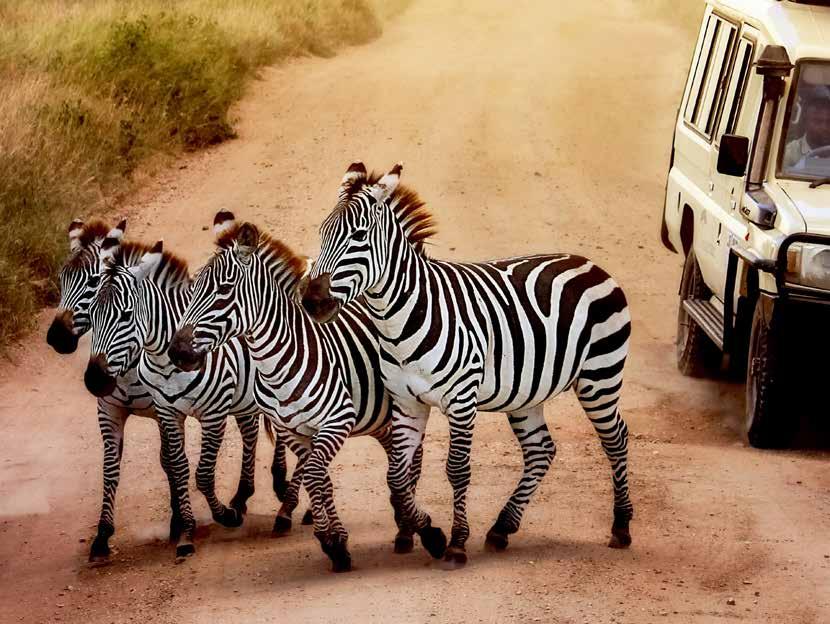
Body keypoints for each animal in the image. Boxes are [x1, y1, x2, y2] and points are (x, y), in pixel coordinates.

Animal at [78, 232, 298, 560]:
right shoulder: (160, 412)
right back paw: (245, 496)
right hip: (246, 401)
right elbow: (172, 467)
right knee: (252, 433)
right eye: (91, 316)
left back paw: (285, 501)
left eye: (126, 316)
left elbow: (203, 474)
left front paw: (224, 516)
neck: (162, 359)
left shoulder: (213, 413)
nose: (95, 380)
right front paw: (184, 532)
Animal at [167, 212, 442, 572]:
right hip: (380, 418)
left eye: (224, 290)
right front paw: (336, 542)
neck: (278, 361)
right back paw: (403, 523)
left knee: (414, 460)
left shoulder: (336, 422)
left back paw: (410, 530)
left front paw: (331, 540)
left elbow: (313, 475)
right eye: (192, 289)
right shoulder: (294, 430)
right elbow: (320, 478)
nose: (177, 352)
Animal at [302, 163, 632, 568]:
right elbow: (396, 476)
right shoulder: (407, 403)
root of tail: (590, 264)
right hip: (528, 394)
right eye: (322, 233)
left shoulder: (461, 399)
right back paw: (502, 527)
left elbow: (456, 469)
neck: (402, 318)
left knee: (615, 439)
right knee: (541, 449)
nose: (312, 301)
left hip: (599, 377)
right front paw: (430, 533)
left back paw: (621, 526)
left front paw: (456, 542)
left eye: (359, 236)